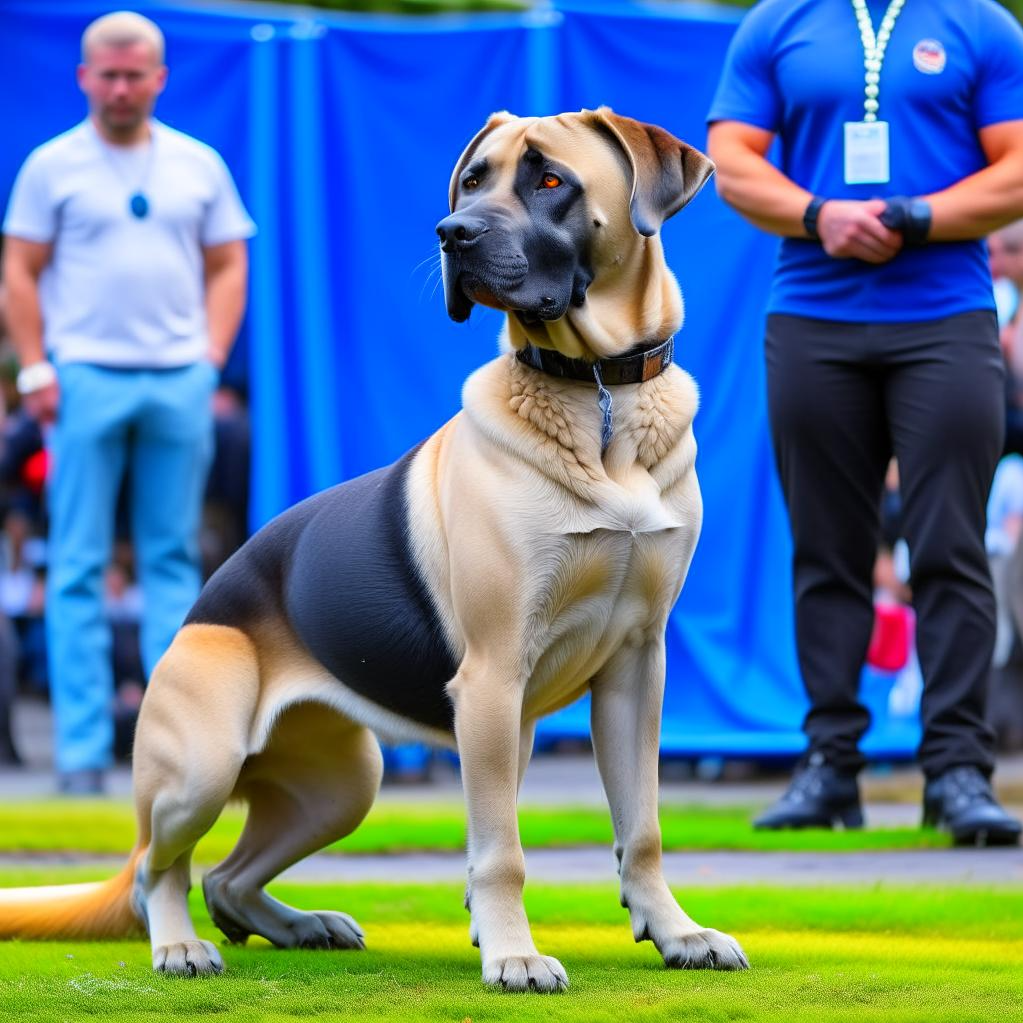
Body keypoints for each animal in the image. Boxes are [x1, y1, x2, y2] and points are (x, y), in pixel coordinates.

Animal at [0, 109, 752, 990]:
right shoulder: (493, 678)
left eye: (550, 180)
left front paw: (675, 932)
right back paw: (180, 944)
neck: (596, 392)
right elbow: (500, 850)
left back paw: (299, 924)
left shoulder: (635, 667)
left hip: (347, 784)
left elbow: (642, 829)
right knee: (162, 866)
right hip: (203, 767)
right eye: (472, 181)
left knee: (226, 876)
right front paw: (513, 952)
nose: (451, 233)